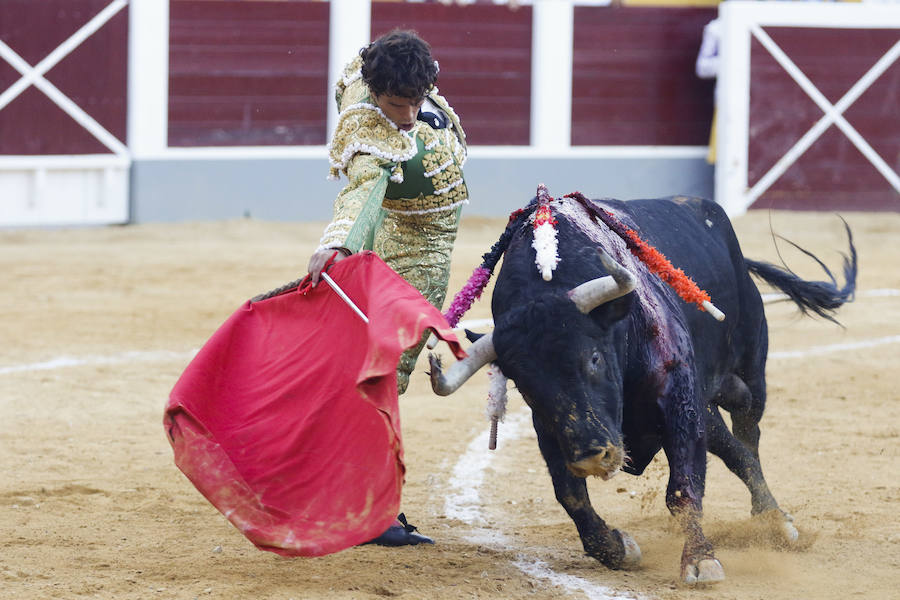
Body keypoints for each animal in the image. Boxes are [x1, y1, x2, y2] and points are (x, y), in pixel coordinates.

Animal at [428, 188, 856, 580]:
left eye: (594, 357)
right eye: (524, 384)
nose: (592, 456)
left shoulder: (679, 399)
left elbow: (683, 488)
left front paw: (700, 561)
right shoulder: (552, 427)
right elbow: (571, 496)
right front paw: (618, 548)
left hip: (751, 375)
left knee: (748, 440)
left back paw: (772, 521)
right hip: (706, 405)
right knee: (734, 448)